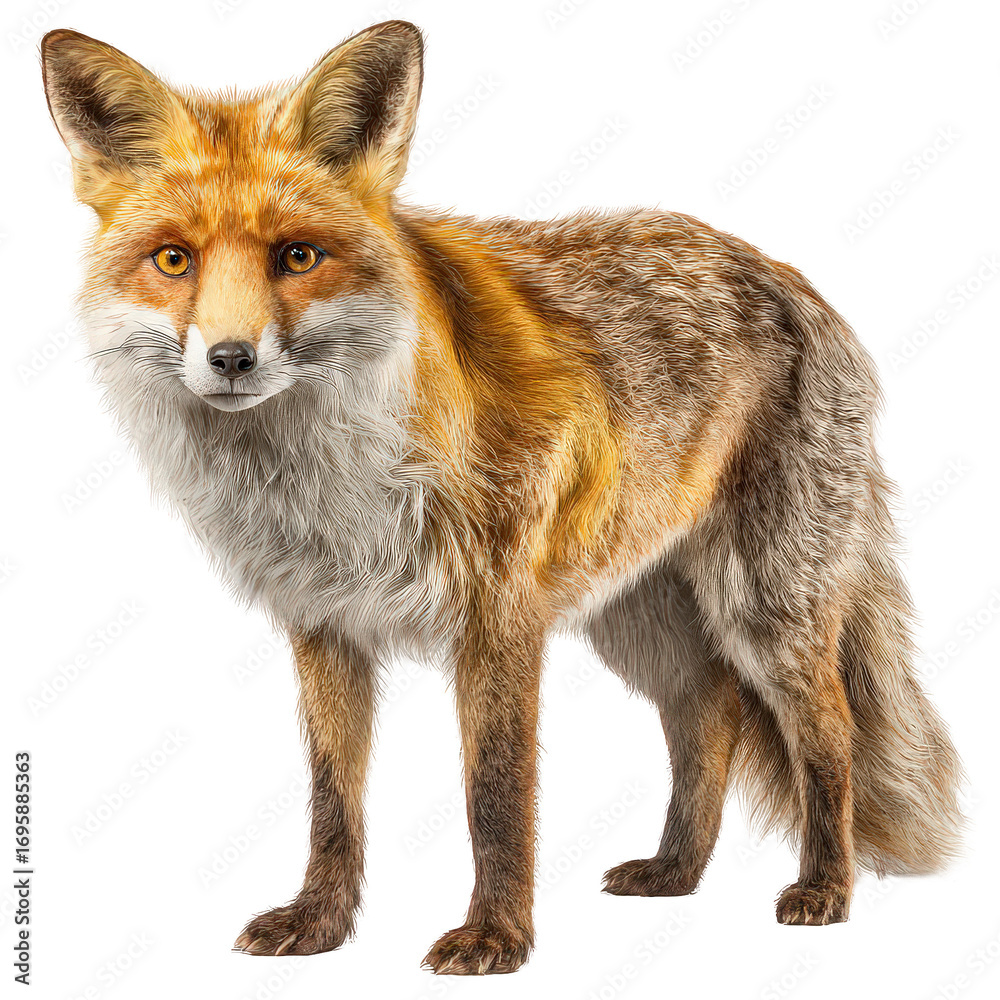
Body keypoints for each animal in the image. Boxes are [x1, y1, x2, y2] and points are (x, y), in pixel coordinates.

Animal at [41, 20, 963, 975]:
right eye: (173, 260)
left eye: (297, 256)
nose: (230, 358)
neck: (329, 483)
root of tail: (787, 277)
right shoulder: (325, 624)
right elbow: (333, 800)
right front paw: (321, 923)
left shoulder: (500, 616)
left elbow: (496, 796)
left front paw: (497, 937)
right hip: (638, 616)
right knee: (707, 713)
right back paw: (675, 871)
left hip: (764, 607)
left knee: (828, 732)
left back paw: (826, 888)